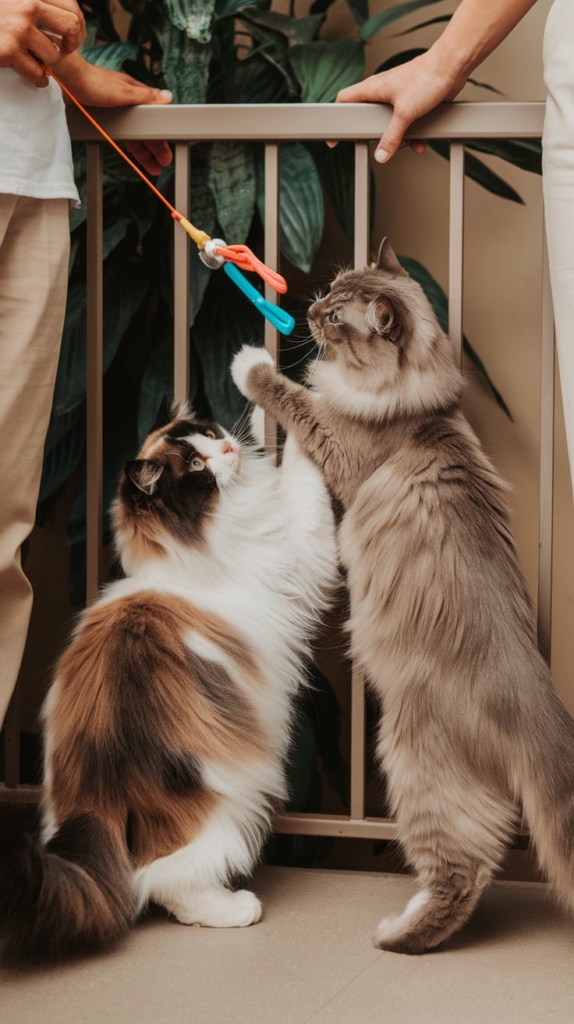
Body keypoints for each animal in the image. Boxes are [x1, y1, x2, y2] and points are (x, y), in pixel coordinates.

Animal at [0, 405, 337, 958]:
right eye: (195, 466)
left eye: (212, 435)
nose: (227, 450)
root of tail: (95, 802)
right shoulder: (298, 553)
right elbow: (300, 474)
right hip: (227, 805)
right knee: (164, 878)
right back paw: (235, 909)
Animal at [230, 237, 572, 950]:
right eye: (331, 288)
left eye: (337, 318)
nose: (311, 309)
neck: (418, 407)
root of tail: (536, 698)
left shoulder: (338, 443)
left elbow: (293, 399)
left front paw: (252, 364)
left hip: (406, 759)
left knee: (465, 869)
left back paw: (396, 934)